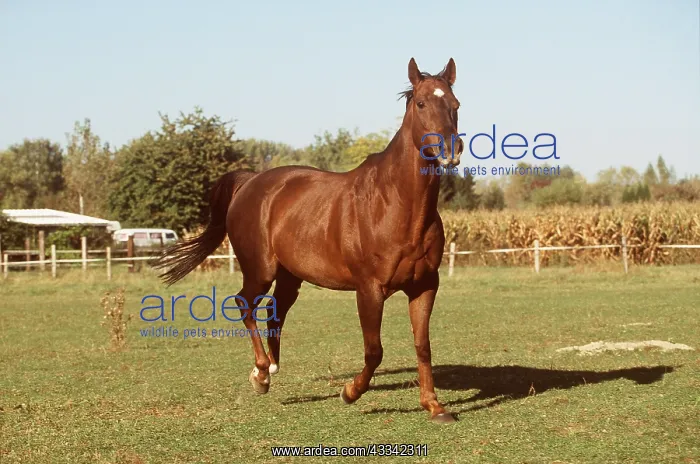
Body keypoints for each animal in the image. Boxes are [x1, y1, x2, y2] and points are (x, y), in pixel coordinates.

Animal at [153, 57, 464, 424]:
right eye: (421, 103)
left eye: (455, 105)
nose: (450, 149)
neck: (395, 205)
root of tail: (251, 182)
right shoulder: (369, 289)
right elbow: (374, 351)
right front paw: (349, 392)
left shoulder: (425, 285)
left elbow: (423, 346)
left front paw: (435, 406)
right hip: (259, 270)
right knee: (245, 304)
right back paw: (261, 374)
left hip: (291, 276)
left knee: (274, 311)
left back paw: (270, 368)